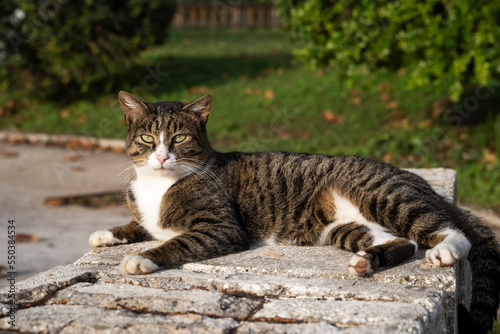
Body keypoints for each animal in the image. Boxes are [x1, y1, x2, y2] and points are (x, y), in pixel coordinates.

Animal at [90, 91, 500, 334]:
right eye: (147, 139)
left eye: (179, 139)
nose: (161, 157)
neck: (157, 186)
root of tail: (416, 178)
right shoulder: (150, 219)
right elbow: (139, 226)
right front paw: (106, 234)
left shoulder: (220, 228)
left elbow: (174, 243)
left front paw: (142, 259)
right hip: (343, 227)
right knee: (402, 241)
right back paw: (366, 262)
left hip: (384, 196)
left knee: (448, 231)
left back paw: (443, 251)